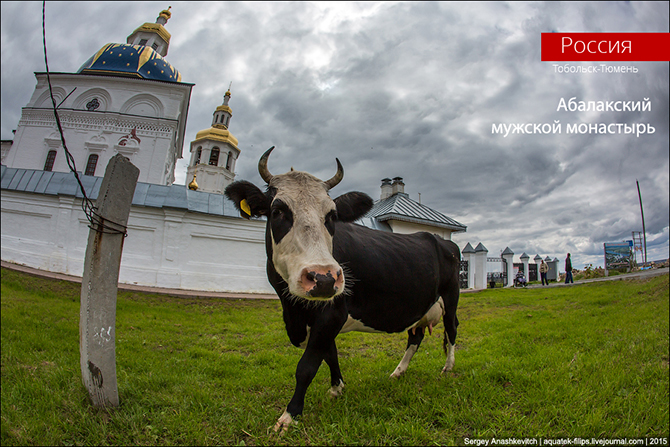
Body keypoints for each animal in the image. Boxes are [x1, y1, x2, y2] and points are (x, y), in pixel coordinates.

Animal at [226, 148, 462, 434]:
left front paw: (290, 415)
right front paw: (337, 388)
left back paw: (447, 367)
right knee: (415, 337)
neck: (294, 310)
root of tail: (438, 238)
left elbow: (307, 365)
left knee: (451, 329)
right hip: (421, 304)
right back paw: (398, 372)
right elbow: (330, 353)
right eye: (277, 210)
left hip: (451, 296)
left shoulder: (333, 312)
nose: (324, 278)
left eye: (332, 215)